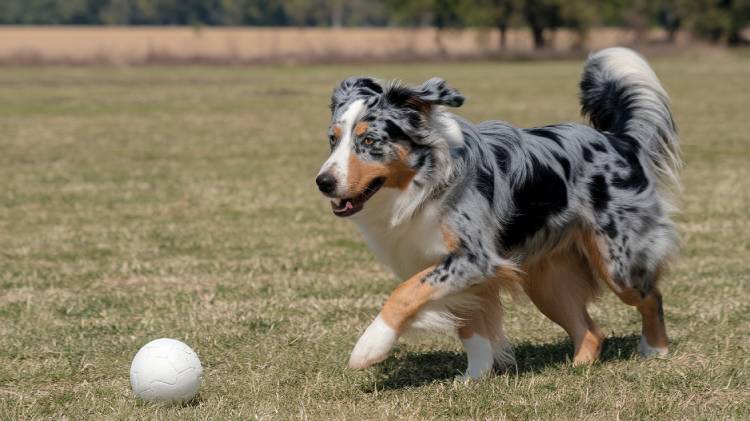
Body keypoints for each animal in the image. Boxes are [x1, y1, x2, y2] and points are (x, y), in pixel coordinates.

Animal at [316, 47, 680, 378]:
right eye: (333, 139)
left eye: (370, 141)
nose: (323, 182)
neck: (426, 181)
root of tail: (619, 140)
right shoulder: (454, 268)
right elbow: (470, 328)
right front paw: (475, 377)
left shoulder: (474, 258)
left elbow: (404, 294)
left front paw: (369, 348)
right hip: (547, 282)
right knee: (591, 330)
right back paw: (577, 369)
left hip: (617, 264)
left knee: (652, 296)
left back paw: (655, 349)